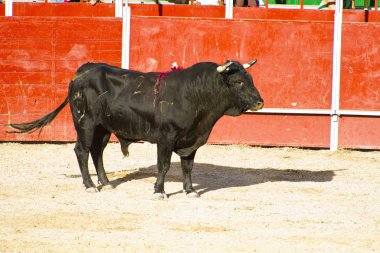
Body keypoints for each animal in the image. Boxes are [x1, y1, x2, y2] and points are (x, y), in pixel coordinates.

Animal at [9, 59, 264, 200]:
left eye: (251, 79)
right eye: (239, 82)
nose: (260, 102)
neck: (196, 94)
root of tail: (82, 71)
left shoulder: (192, 138)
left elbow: (187, 166)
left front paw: (190, 190)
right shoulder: (166, 137)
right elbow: (164, 165)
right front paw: (159, 191)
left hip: (103, 128)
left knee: (97, 152)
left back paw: (106, 183)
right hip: (85, 123)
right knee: (81, 151)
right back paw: (90, 186)